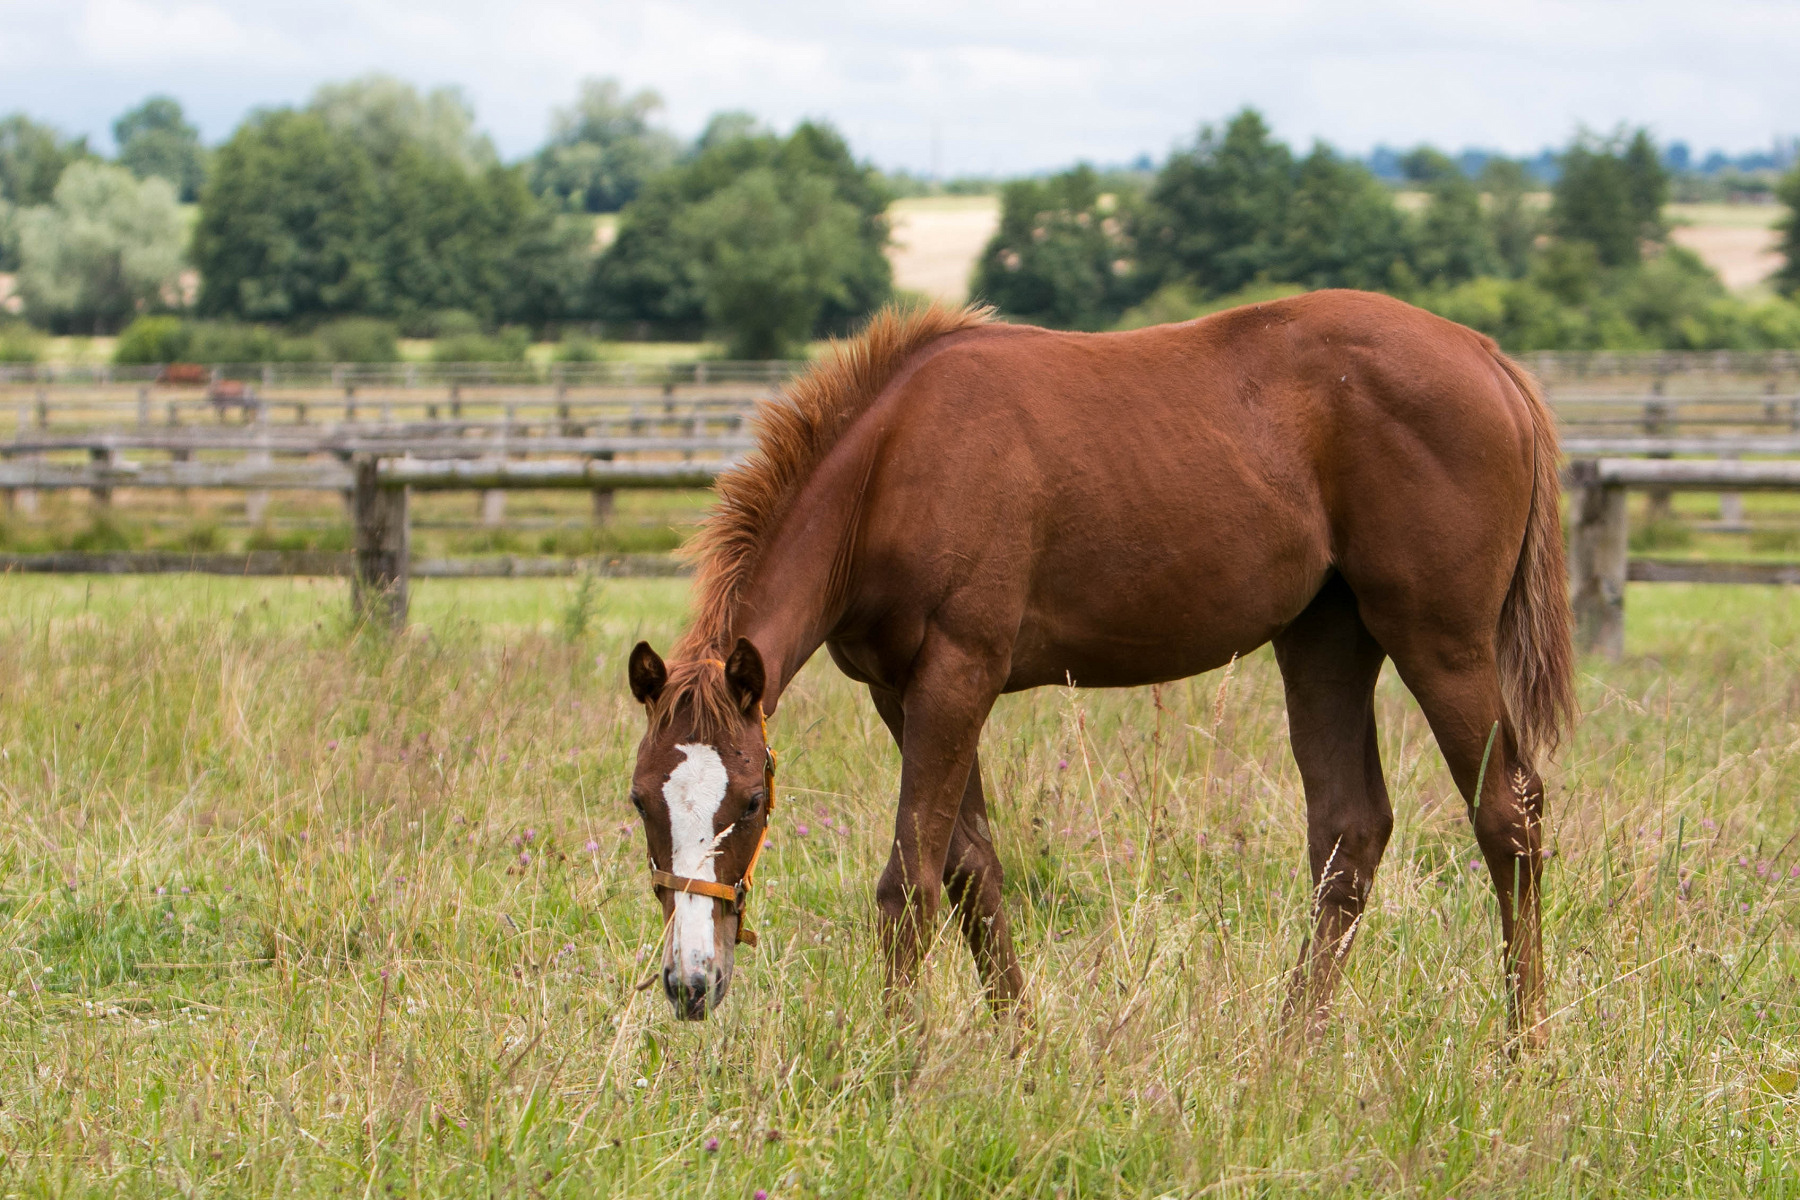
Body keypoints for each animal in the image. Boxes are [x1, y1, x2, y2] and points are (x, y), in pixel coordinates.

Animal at [626, 291, 1569, 1043]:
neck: (892, 466)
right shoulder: (902, 693)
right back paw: (1289, 1048)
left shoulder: (959, 674)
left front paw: (896, 1063)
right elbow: (972, 870)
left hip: (1441, 642)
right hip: (1325, 640)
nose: (692, 983)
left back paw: (1521, 1048)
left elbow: (912, 884)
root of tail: (1488, 359)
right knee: (1349, 832)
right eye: (639, 802)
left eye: (752, 800)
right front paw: (1021, 1046)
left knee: (1508, 815)